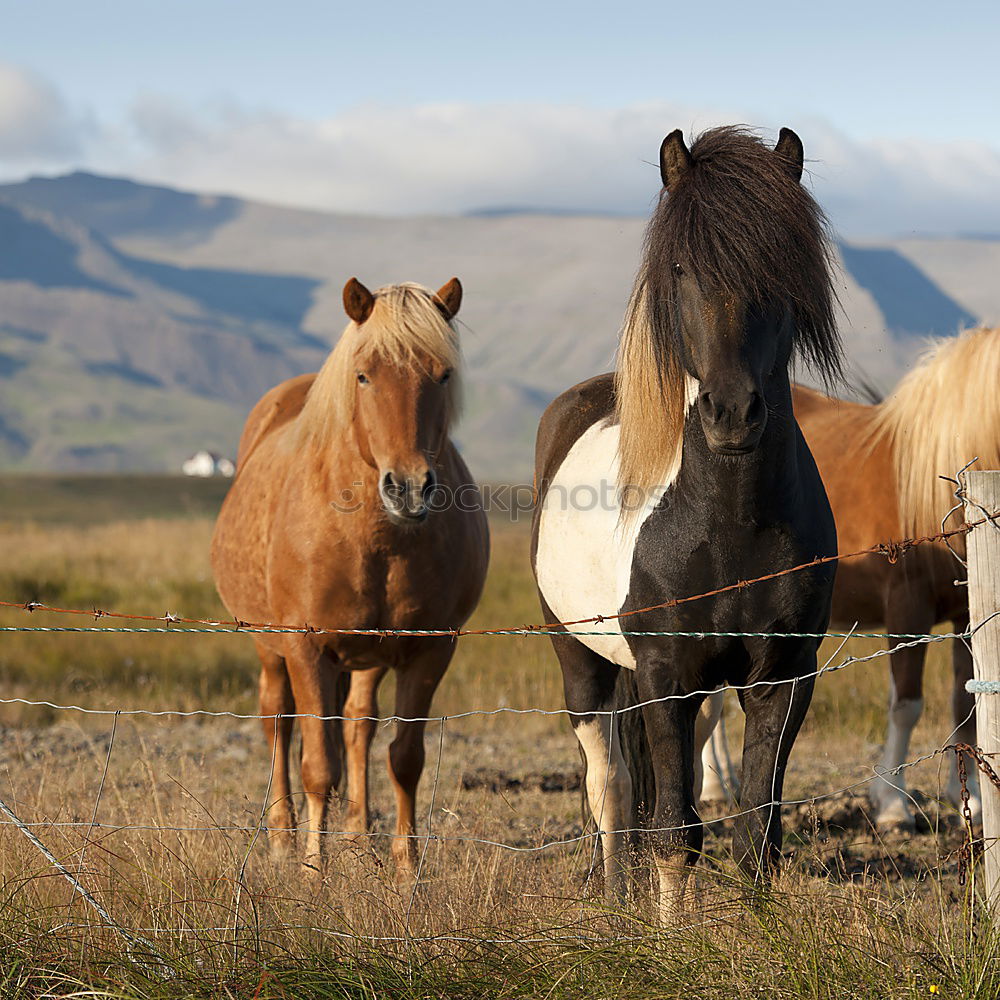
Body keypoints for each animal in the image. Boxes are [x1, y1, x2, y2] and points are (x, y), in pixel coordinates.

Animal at [213, 278, 490, 872]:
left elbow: (404, 758)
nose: (409, 487)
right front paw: (313, 872)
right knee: (278, 720)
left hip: (369, 655)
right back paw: (283, 838)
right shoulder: (306, 646)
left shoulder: (430, 647)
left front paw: (407, 870)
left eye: (443, 374)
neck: (378, 536)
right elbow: (318, 765)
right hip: (271, 646)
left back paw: (359, 840)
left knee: (359, 723)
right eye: (364, 375)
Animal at [532, 121, 844, 916]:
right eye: (680, 267)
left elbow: (755, 832)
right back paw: (611, 895)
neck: (727, 525)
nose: (732, 413)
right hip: (578, 659)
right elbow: (674, 831)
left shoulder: (784, 677)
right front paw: (670, 930)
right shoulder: (664, 673)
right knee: (608, 784)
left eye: (781, 266)